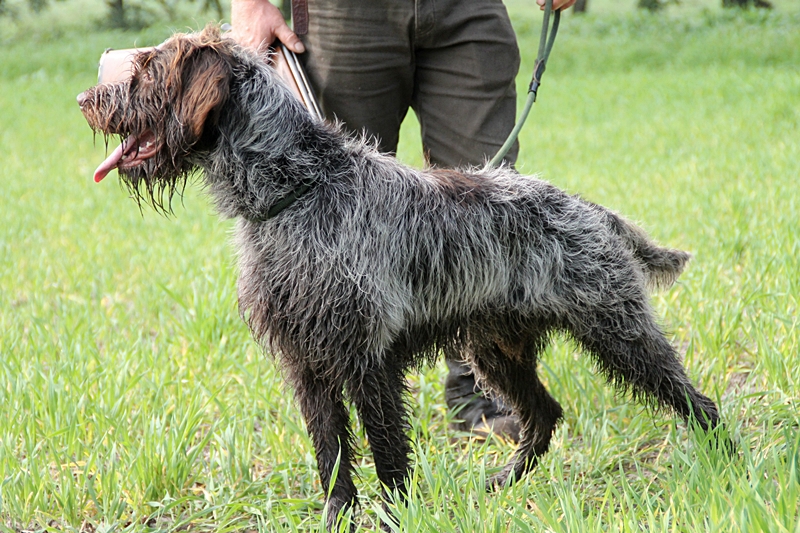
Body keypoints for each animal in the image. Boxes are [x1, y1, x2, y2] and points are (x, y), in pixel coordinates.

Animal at [78, 23, 728, 528]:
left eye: (148, 68)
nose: (87, 97)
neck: (295, 191)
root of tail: (591, 209)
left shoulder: (368, 360)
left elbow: (387, 452)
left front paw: (395, 517)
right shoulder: (306, 363)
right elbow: (332, 458)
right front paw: (337, 519)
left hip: (619, 333)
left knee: (695, 401)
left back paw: (727, 464)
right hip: (496, 350)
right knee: (544, 413)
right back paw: (504, 482)